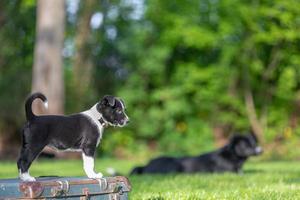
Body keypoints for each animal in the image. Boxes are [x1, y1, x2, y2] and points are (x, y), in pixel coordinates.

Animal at [130, 133, 262, 175]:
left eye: (254, 143)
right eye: (246, 144)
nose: (261, 150)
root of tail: (146, 165)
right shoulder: (226, 172)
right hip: (174, 165)